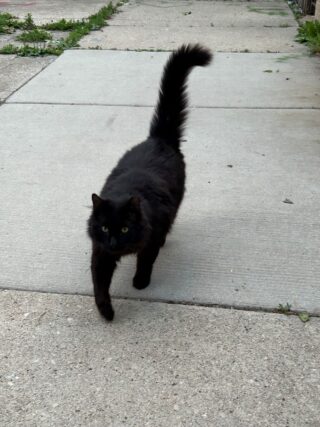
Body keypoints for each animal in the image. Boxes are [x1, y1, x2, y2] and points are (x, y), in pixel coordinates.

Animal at [87, 45, 212, 322]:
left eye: (124, 229)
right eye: (104, 228)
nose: (114, 242)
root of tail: (158, 138)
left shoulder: (151, 236)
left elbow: (145, 261)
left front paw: (140, 282)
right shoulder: (100, 252)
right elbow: (99, 284)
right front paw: (106, 312)